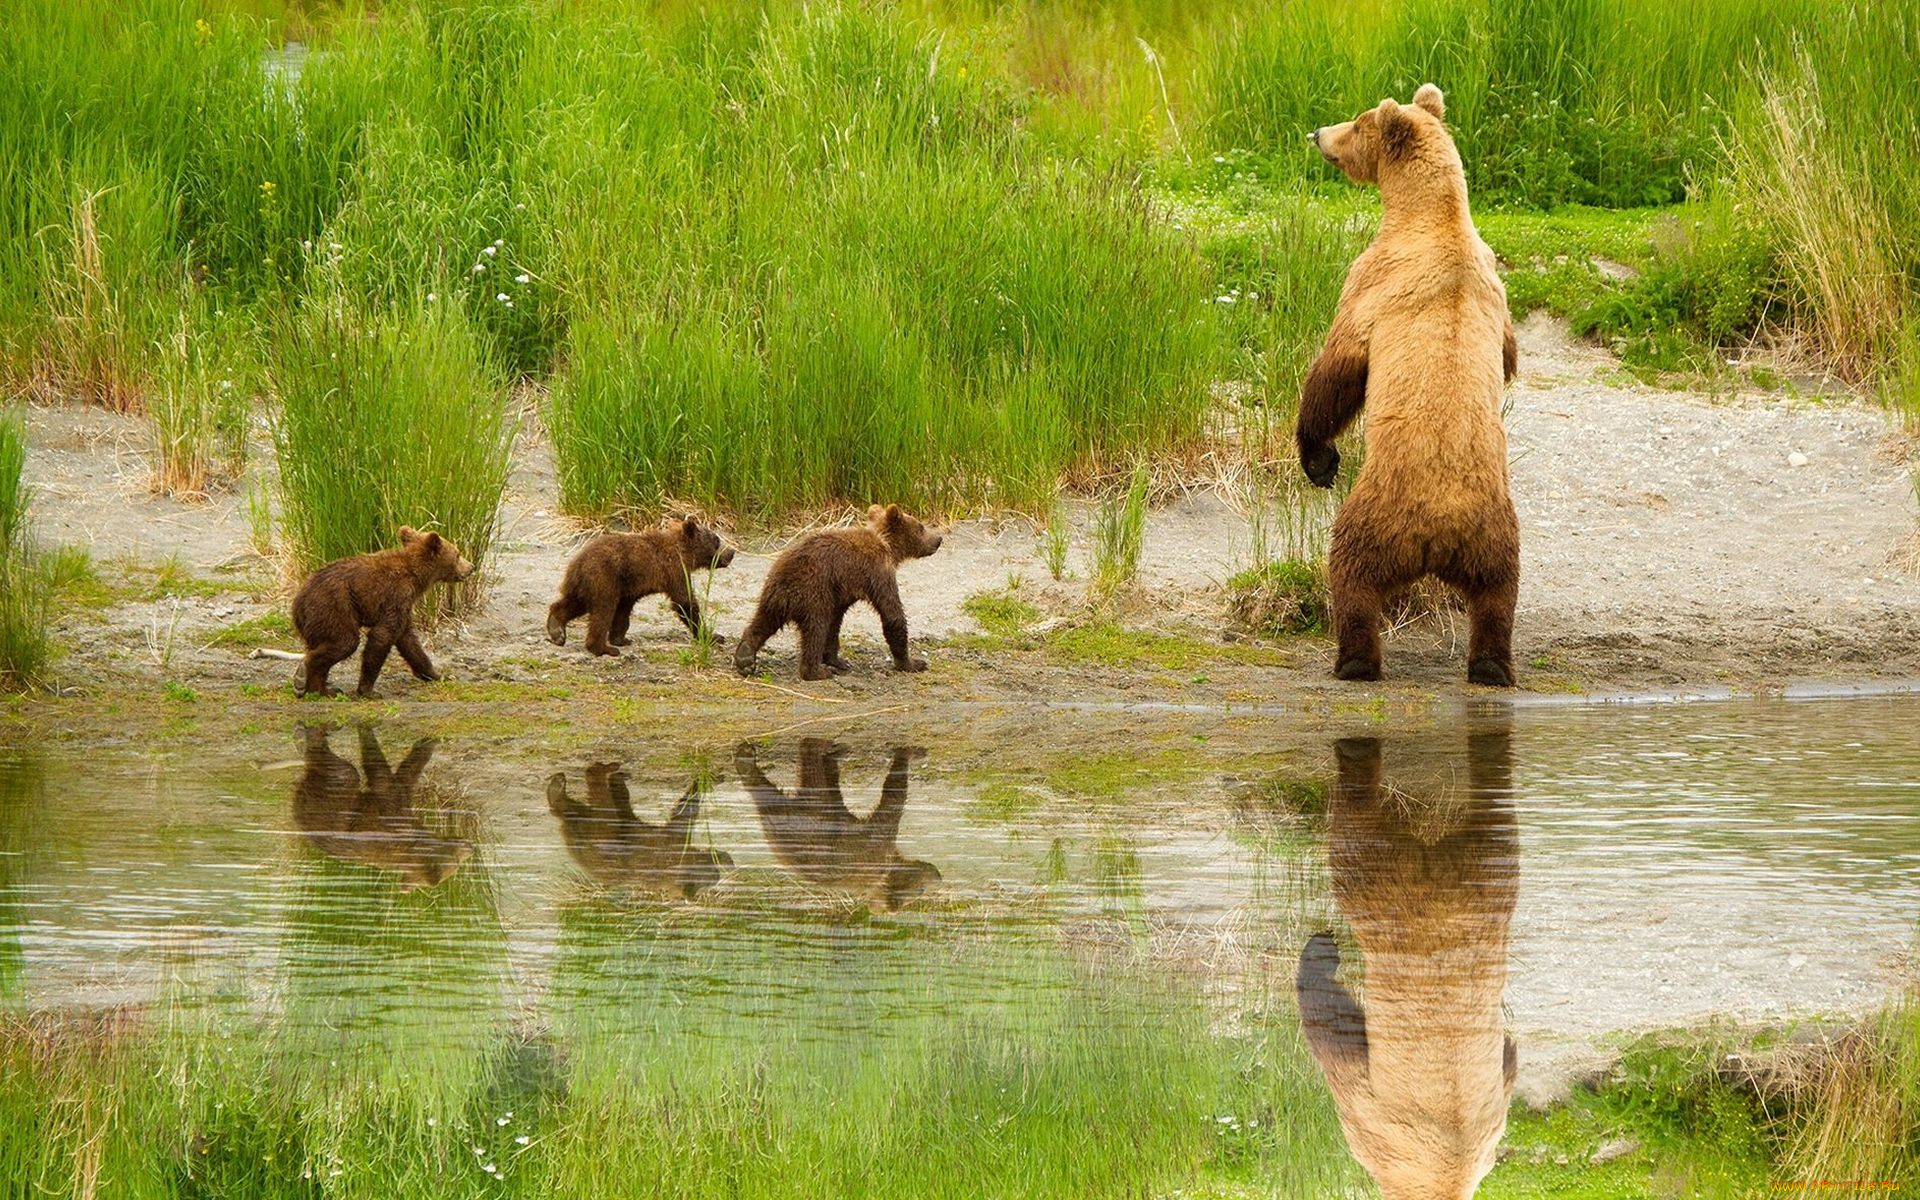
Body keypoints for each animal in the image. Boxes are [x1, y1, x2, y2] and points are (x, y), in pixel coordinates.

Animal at [289, 529, 474, 698]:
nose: (471, 567)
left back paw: (324, 690)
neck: (417, 577)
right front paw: (368, 690)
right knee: (345, 641)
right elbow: (383, 635)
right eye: (458, 554)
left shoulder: (404, 606)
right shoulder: (397, 595)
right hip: (334, 606)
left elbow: (409, 642)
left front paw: (438, 674)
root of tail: (298, 601)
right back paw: (307, 677)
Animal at [556, 510, 741, 648]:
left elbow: (624, 610)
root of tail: (577, 563)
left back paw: (556, 629)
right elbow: (685, 602)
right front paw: (712, 635)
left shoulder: (630, 587)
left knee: (574, 603)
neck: (685, 554)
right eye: (717, 540)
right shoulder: (675, 571)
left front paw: (620, 638)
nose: (731, 552)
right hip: (602, 578)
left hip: (584, 584)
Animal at [729, 499, 940, 679]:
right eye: (921, 527)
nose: (938, 539)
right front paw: (912, 663)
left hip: (773, 595)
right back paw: (816, 671)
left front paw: (837, 660)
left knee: (762, 622)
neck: (887, 545)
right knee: (816, 627)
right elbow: (892, 614)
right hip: (813, 592)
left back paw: (745, 656)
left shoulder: (840, 592)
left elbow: (835, 622)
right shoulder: (878, 572)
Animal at [1297, 84, 1520, 683]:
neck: (1431, 216)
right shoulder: (1496, 285)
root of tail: (1439, 534)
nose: (1317, 133)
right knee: (1499, 594)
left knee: (1351, 573)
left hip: (1378, 512)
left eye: (1356, 123)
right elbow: (1511, 356)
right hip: (1496, 532)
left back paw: (1354, 660)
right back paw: (1491, 666)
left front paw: (1318, 458)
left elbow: (1337, 370)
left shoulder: (1374, 280)